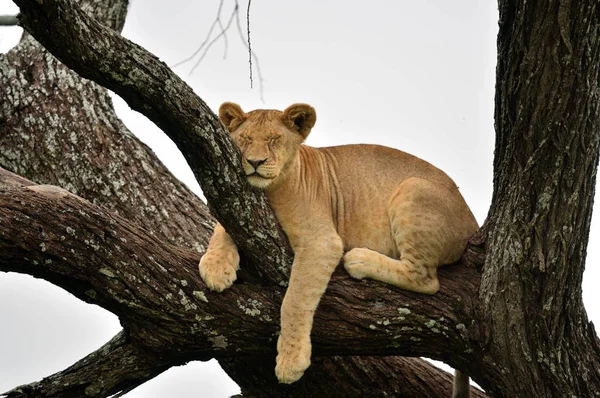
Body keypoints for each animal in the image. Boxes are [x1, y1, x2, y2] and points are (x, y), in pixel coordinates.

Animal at [199, 102, 480, 394]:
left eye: (274, 140)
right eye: (245, 139)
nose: (255, 162)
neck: (270, 189)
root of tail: (472, 222)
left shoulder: (322, 241)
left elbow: (294, 300)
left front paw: (291, 360)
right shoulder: (236, 205)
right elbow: (221, 228)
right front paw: (216, 268)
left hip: (414, 187)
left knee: (425, 278)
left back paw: (360, 260)